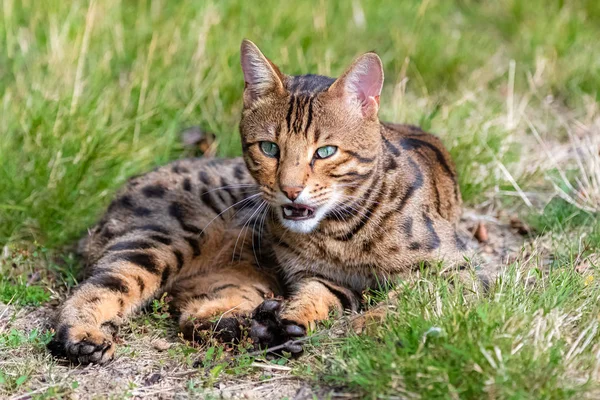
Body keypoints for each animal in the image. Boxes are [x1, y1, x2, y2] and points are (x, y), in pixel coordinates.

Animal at [49, 41, 466, 366]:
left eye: (325, 152)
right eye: (269, 148)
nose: (290, 189)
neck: (341, 233)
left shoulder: (456, 270)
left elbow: (408, 294)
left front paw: (353, 321)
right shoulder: (316, 275)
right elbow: (323, 293)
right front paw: (300, 318)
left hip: (240, 278)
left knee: (197, 315)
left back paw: (260, 328)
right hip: (166, 239)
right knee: (95, 290)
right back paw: (84, 336)